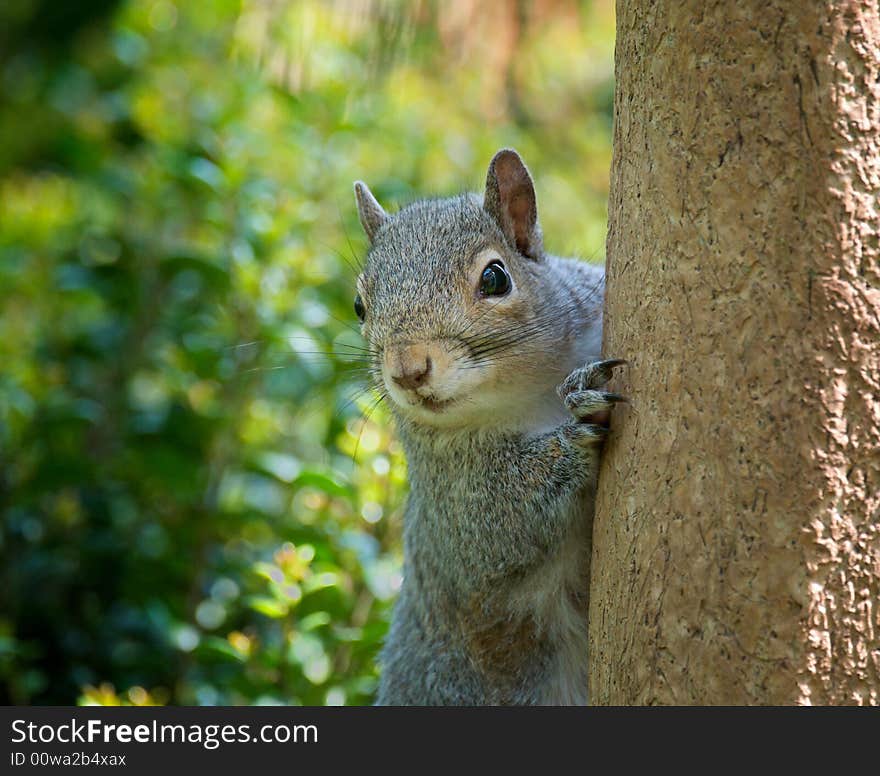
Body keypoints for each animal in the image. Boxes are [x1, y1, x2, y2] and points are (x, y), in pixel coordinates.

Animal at [350, 149, 624, 708]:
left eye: (496, 278)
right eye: (360, 306)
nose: (408, 370)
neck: (532, 389)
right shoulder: (450, 499)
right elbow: (495, 530)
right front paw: (577, 428)